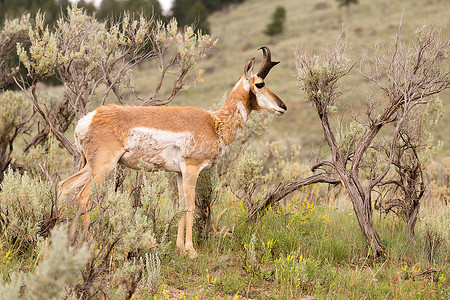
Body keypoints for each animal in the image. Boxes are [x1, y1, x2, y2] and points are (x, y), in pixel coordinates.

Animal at [58, 46, 286, 258]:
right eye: (260, 84)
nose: (283, 106)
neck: (215, 123)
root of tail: (88, 119)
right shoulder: (192, 169)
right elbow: (191, 206)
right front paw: (191, 250)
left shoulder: (178, 174)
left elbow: (181, 206)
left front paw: (180, 248)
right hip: (103, 167)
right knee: (83, 196)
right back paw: (92, 247)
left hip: (91, 167)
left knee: (63, 186)